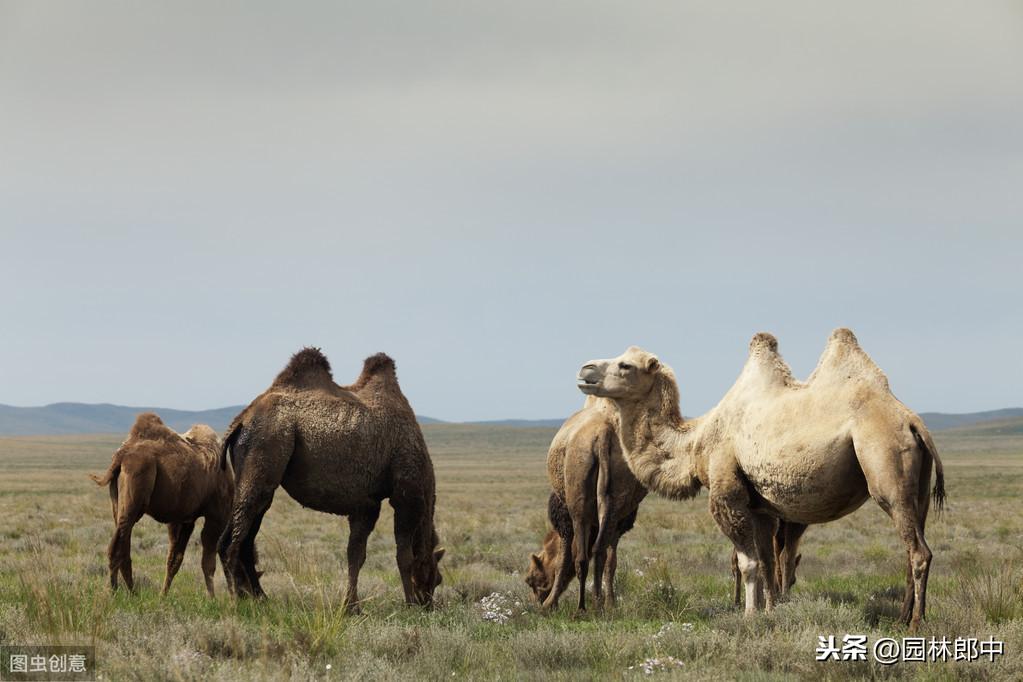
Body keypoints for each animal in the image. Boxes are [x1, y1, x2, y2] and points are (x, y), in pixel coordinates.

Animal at [88, 413, 234, 593]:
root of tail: (121, 456)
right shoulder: (217, 515)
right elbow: (209, 561)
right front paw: (213, 596)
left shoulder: (184, 518)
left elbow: (174, 560)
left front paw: (163, 595)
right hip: (136, 489)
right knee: (117, 546)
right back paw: (116, 591)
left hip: (117, 501)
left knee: (123, 544)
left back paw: (130, 591)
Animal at [217, 347, 441, 609]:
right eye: (436, 578)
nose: (430, 604)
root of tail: (241, 420)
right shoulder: (406, 495)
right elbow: (403, 555)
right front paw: (410, 604)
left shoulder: (367, 504)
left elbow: (356, 554)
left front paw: (351, 607)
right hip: (265, 449)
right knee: (234, 539)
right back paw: (237, 600)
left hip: (258, 474)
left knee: (240, 536)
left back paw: (259, 597)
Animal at [527, 392, 646, 609]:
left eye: (531, 579)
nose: (535, 601)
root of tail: (603, 435)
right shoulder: (619, 523)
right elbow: (611, 561)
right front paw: (611, 603)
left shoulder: (565, 519)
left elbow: (563, 561)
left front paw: (551, 603)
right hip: (616, 493)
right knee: (599, 552)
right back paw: (599, 604)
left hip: (578, 501)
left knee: (581, 558)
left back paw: (582, 607)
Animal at [581, 331, 945, 629]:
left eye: (626, 366)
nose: (585, 371)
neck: (697, 441)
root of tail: (913, 422)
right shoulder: (762, 507)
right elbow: (770, 562)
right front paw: (771, 612)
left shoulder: (727, 492)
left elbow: (749, 562)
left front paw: (749, 616)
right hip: (918, 492)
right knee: (911, 545)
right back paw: (902, 618)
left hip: (886, 469)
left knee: (918, 551)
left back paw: (915, 623)